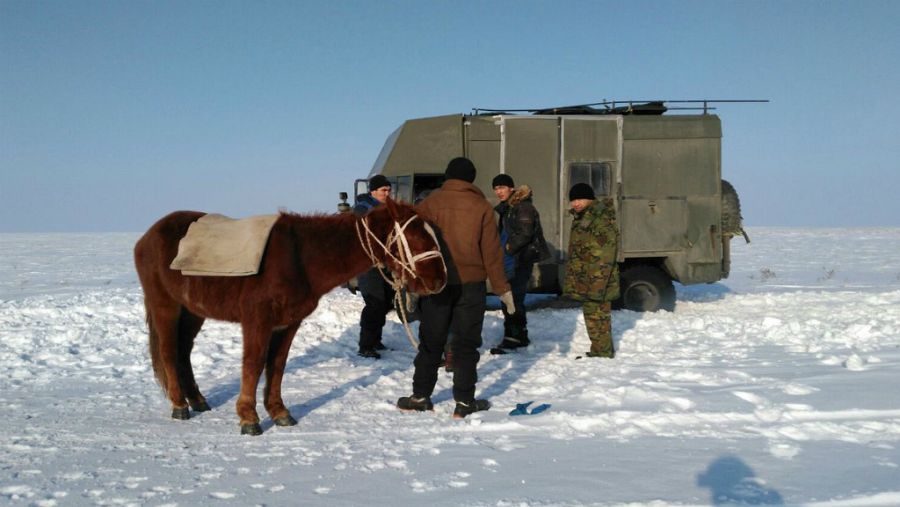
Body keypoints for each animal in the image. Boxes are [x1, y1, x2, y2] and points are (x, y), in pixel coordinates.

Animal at [133, 198, 446, 436]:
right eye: (416, 237)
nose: (440, 280)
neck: (300, 259)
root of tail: (147, 237)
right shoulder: (258, 322)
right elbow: (254, 364)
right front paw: (249, 417)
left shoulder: (288, 324)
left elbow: (277, 366)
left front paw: (279, 412)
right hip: (166, 306)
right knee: (169, 352)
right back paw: (179, 405)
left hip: (192, 312)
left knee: (183, 352)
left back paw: (197, 400)